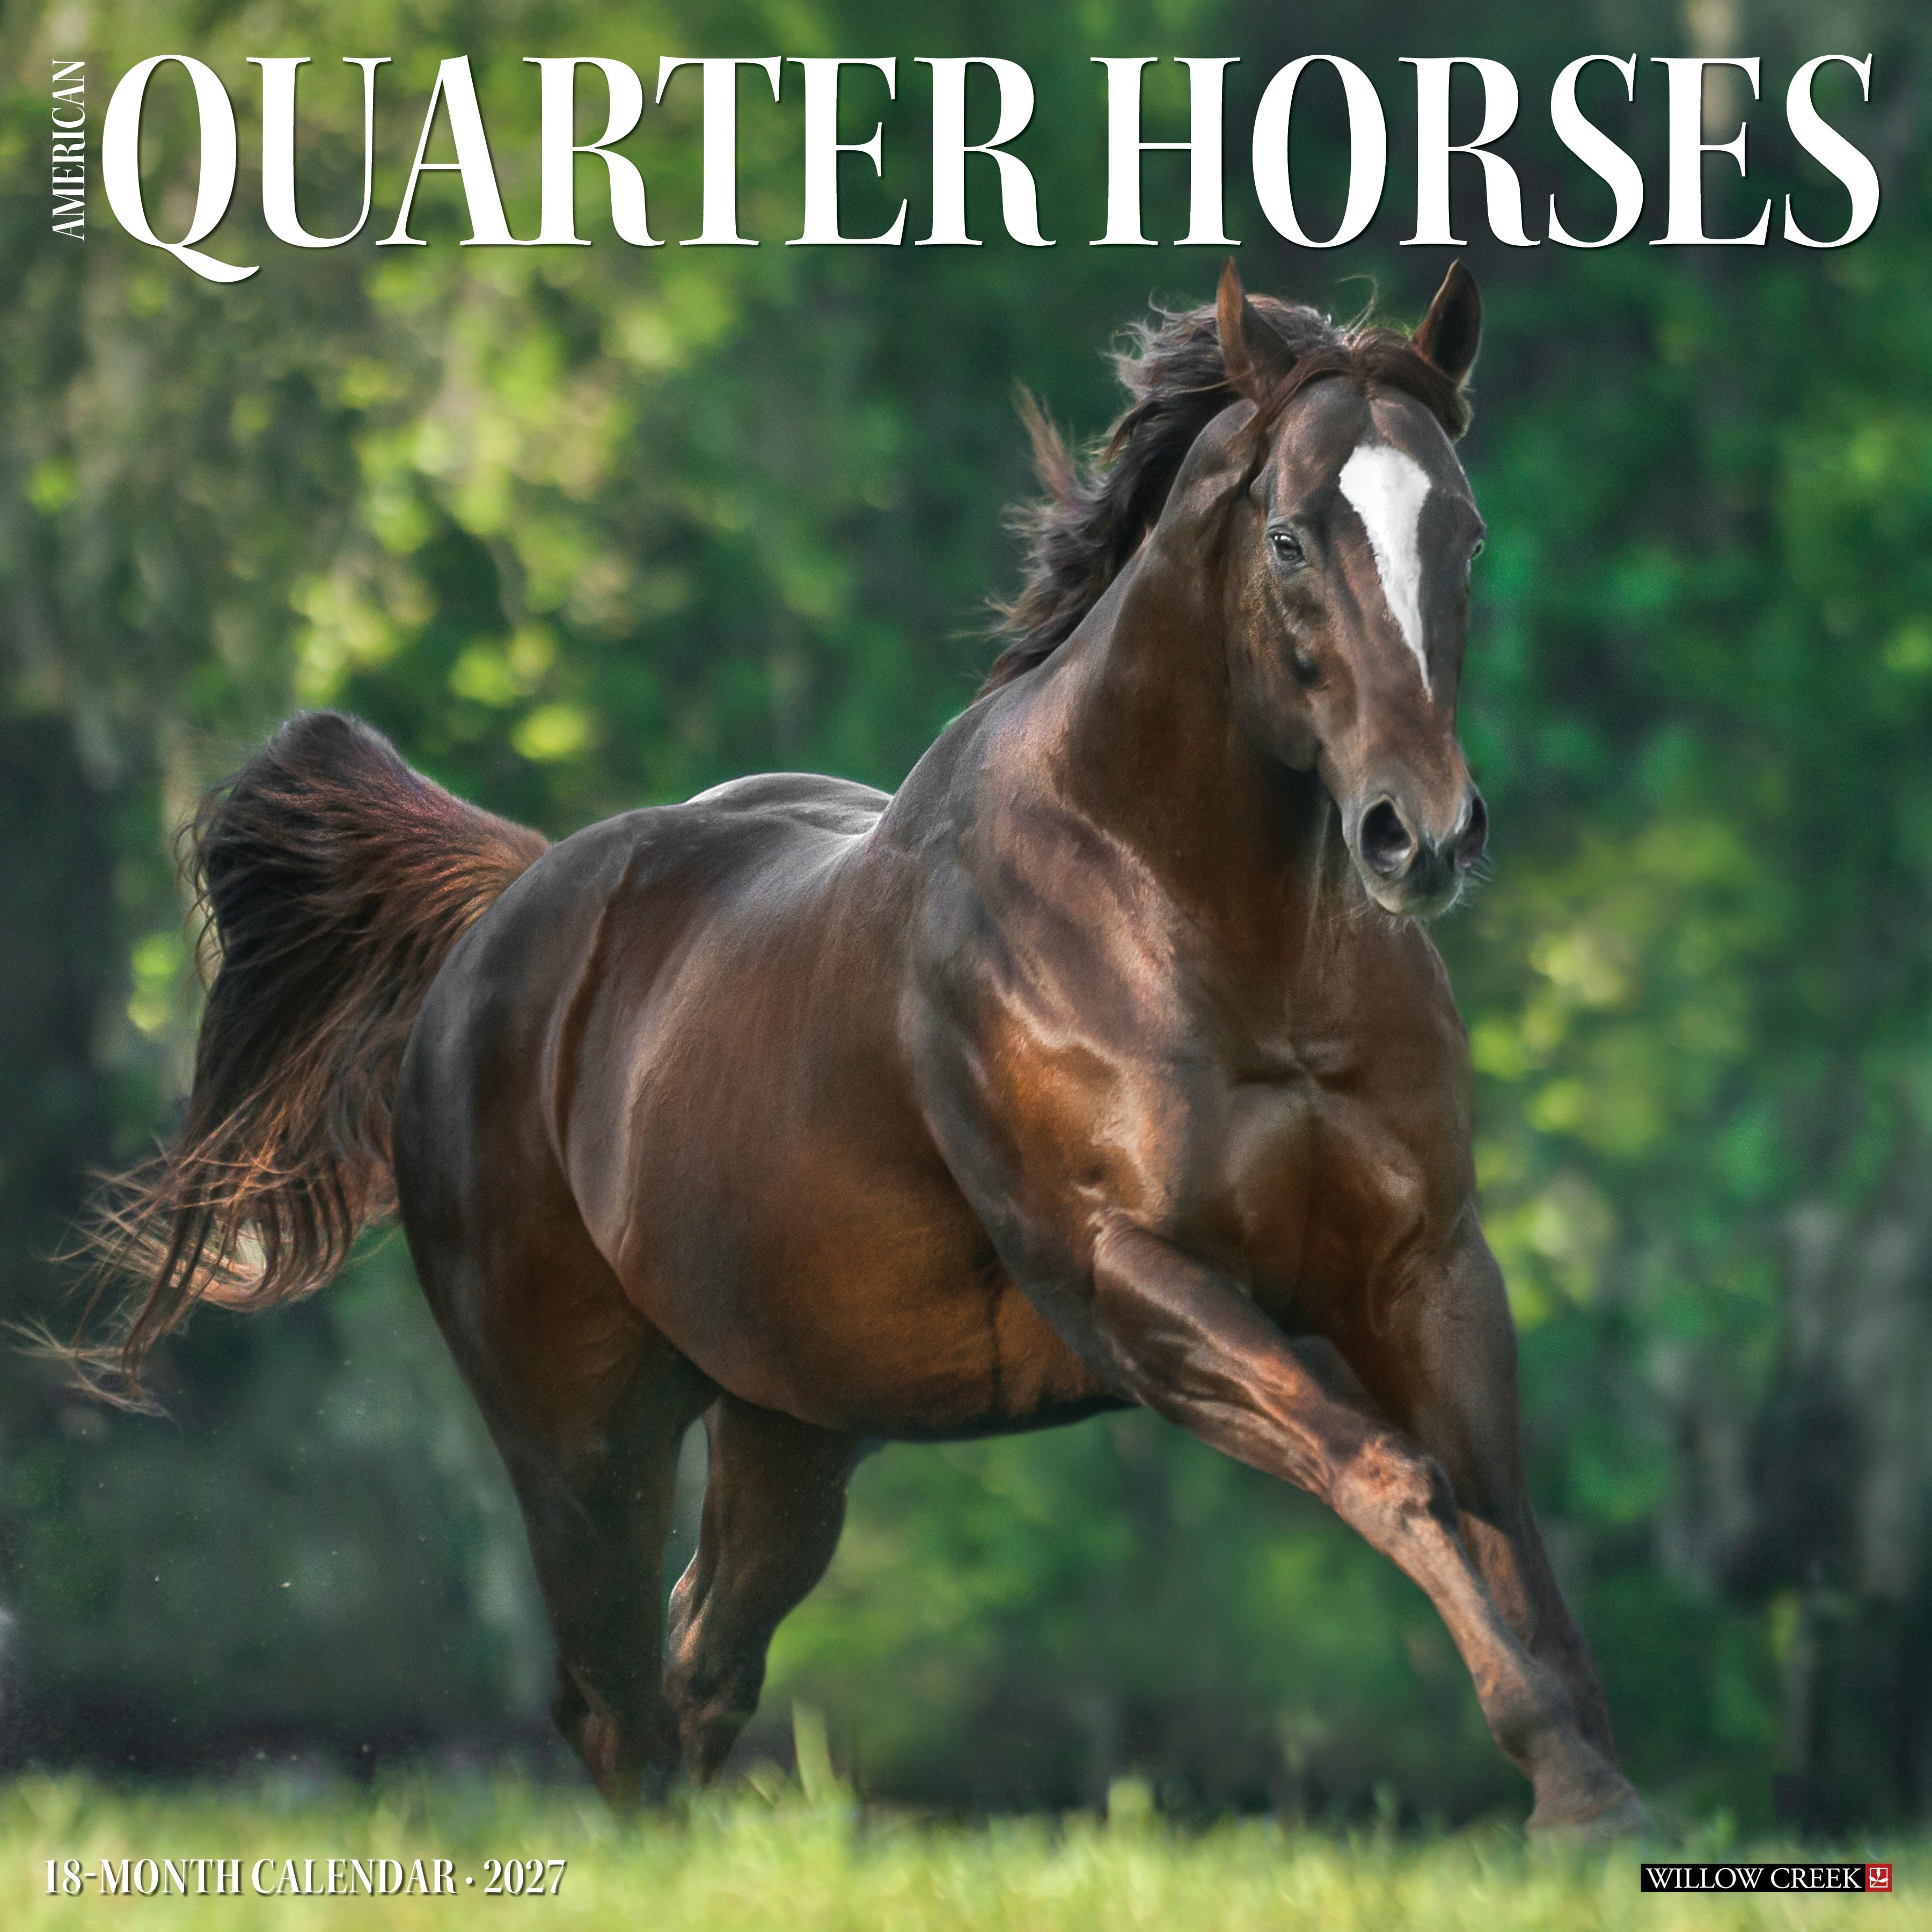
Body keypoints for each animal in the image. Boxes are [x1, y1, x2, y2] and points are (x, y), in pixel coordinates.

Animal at [85, 261, 1644, 1833]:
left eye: (1463, 529)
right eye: (1289, 536)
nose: (1420, 836)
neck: (1205, 927)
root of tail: (510, 905)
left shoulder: (1425, 1268)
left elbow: (1501, 1518)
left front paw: (1595, 1781)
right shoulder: (1130, 1281)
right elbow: (1398, 1478)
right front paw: (1567, 1781)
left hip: (789, 1422)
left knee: (698, 1665)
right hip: (580, 1429)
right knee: (613, 1697)